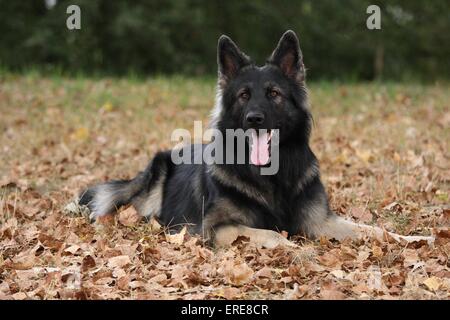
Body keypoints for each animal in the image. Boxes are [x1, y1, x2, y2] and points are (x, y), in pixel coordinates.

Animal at [79, 30, 434, 248]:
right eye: (244, 96)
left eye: (274, 94)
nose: (254, 118)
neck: (272, 176)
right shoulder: (215, 228)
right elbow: (272, 234)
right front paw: (296, 247)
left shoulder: (321, 222)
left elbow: (374, 230)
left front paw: (415, 241)